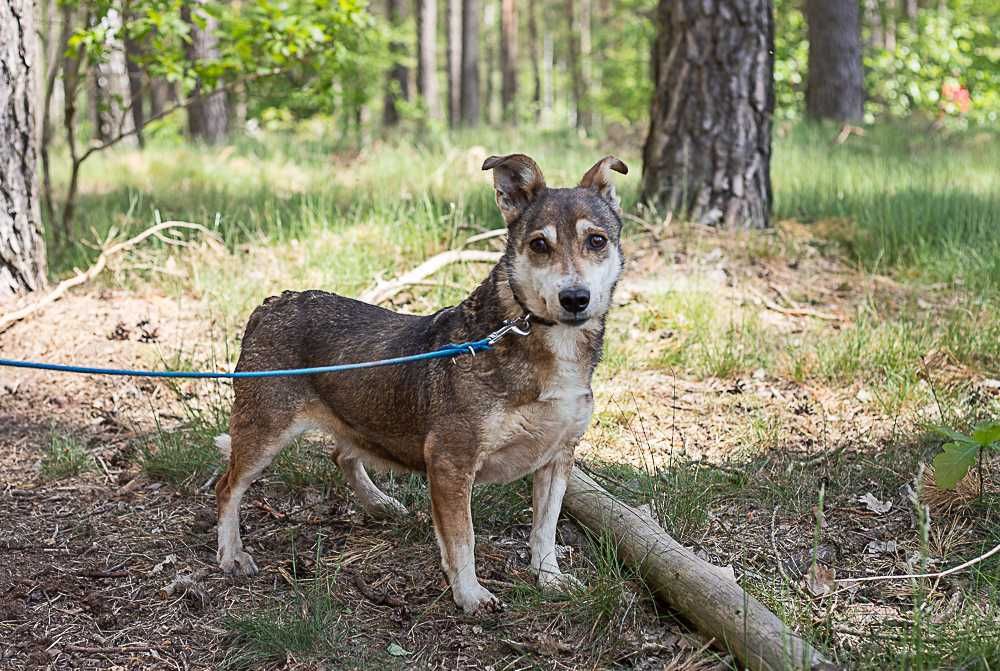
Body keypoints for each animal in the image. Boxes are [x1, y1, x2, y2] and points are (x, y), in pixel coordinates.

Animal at [216, 154, 628, 616]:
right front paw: (470, 595)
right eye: (539, 245)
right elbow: (463, 540)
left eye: (596, 240)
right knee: (226, 488)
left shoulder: (558, 458)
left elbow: (545, 530)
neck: (539, 340)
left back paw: (378, 503)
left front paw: (549, 577)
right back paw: (232, 554)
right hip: (263, 433)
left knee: (341, 454)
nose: (575, 298)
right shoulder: (451, 462)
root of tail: (270, 304)